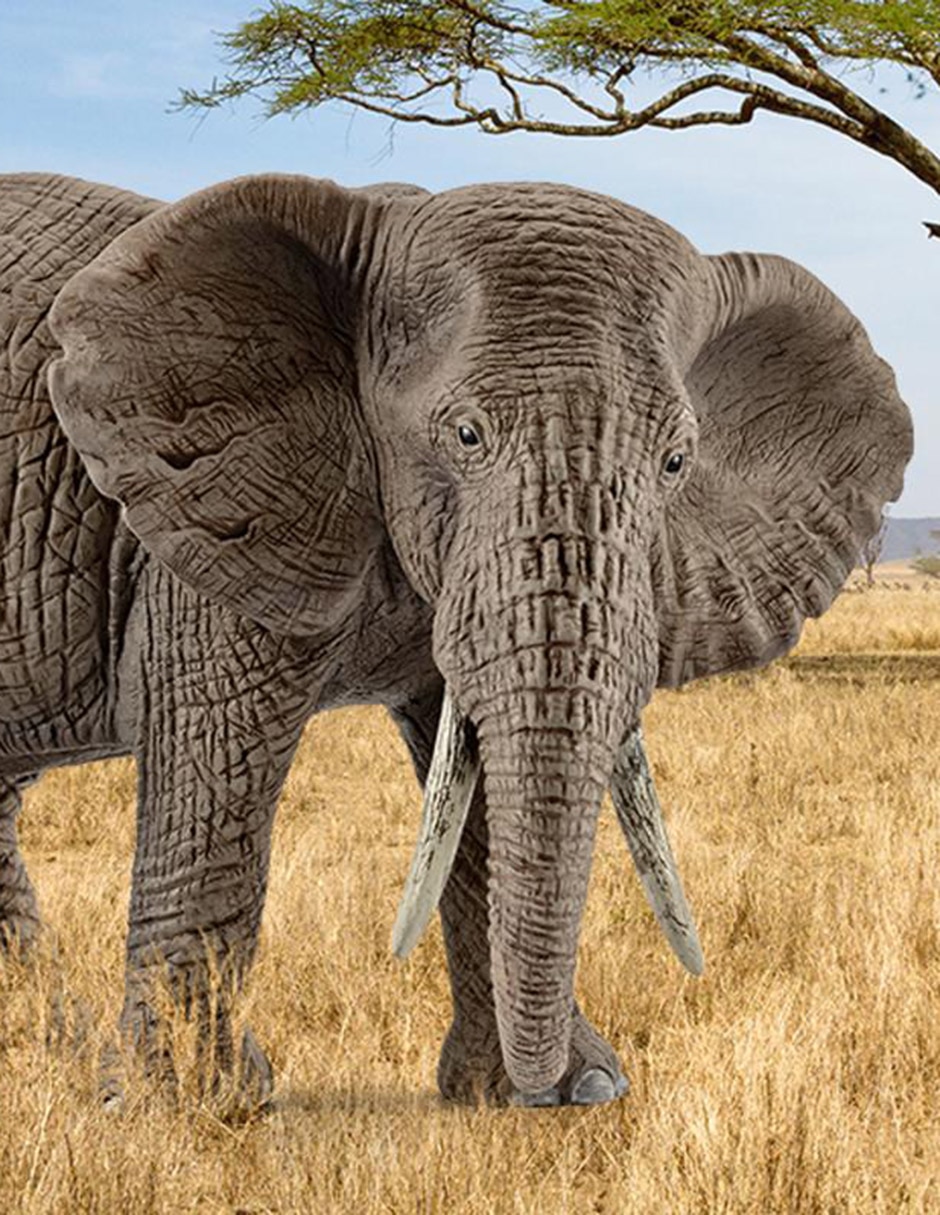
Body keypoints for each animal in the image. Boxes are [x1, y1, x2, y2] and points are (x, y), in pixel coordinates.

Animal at [0, 171, 912, 1108]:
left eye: (675, 462)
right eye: (465, 434)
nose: (575, 1091)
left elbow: (472, 778)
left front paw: (541, 1091)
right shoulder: (209, 512)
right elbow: (215, 756)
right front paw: (188, 1109)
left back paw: (58, 1058)